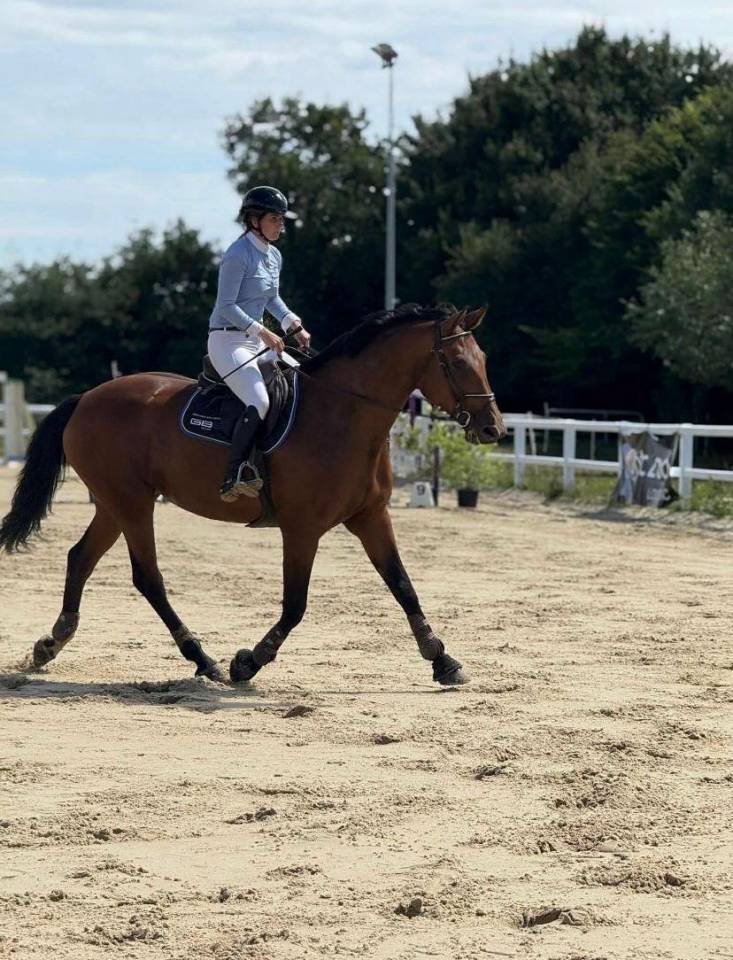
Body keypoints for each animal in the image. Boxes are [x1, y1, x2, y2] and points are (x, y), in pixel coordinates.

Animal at [0, 303, 506, 686]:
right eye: (459, 363)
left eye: (483, 358)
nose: (493, 429)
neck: (344, 414)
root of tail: (86, 398)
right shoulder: (302, 528)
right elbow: (296, 605)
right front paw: (248, 663)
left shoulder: (371, 517)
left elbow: (403, 586)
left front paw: (443, 659)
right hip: (133, 504)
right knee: (148, 578)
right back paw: (202, 658)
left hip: (113, 503)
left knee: (81, 558)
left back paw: (50, 644)